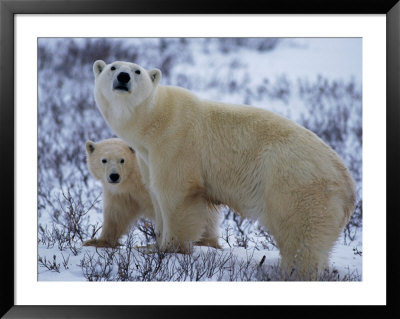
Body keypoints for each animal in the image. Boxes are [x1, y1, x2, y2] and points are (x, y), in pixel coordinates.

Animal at [81, 139, 219, 249]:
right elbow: (117, 214)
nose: (114, 176)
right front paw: (97, 242)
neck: (133, 179)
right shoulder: (121, 193)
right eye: (104, 160)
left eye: (122, 160)